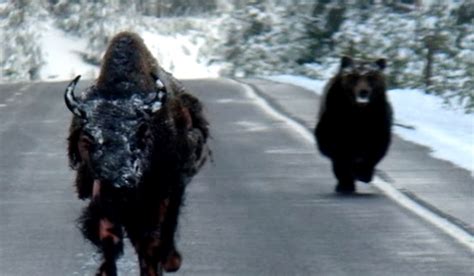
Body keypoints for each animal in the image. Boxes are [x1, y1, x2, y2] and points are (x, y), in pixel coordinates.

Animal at [64, 31, 209, 274]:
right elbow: (109, 240)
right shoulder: (104, 203)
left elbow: (151, 243)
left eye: (141, 132)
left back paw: (171, 261)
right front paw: (105, 271)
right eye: (87, 138)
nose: (118, 183)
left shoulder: (159, 196)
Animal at [314, 55, 392, 193]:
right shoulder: (334, 119)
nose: (363, 91)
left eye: (371, 76)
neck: (357, 113)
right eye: (354, 76)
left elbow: (375, 148)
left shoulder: (378, 120)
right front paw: (346, 181)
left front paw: (363, 172)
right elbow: (336, 150)